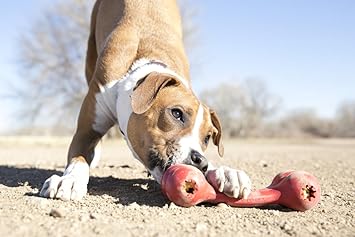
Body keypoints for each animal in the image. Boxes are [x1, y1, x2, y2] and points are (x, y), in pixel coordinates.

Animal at [39, 0, 253, 201]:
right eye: (176, 113)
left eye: (207, 137)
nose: (200, 161)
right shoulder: (85, 132)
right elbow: (78, 159)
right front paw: (70, 179)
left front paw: (226, 172)